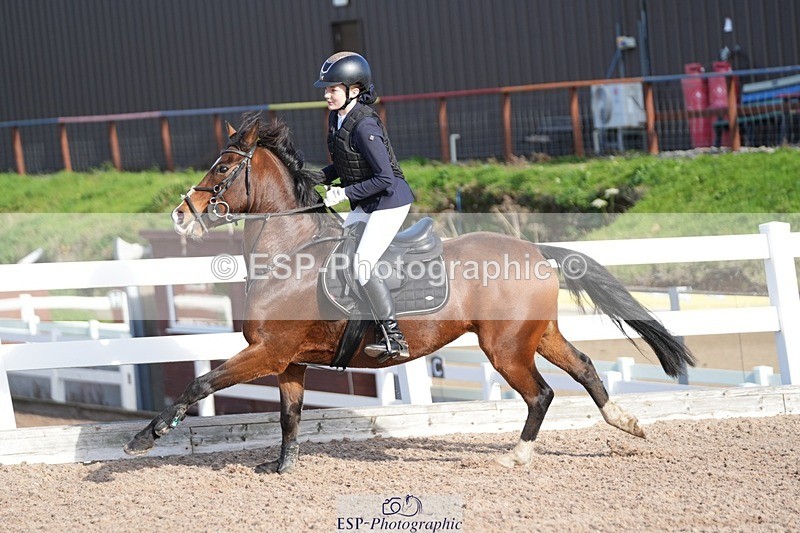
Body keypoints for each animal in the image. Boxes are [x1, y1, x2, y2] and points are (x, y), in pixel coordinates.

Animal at [124, 116, 694, 473]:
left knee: (541, 394)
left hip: (506, 347)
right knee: (585, 368)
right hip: (537, 335)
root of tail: (534, 249)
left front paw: (144, 437)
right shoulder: (289, 360)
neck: (288, 255)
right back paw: (625, 423)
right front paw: (281, 466)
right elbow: (289, 416)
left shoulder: (267, 352)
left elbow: (199, 383)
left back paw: (517, 456)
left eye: (222, 169)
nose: (180, 214)